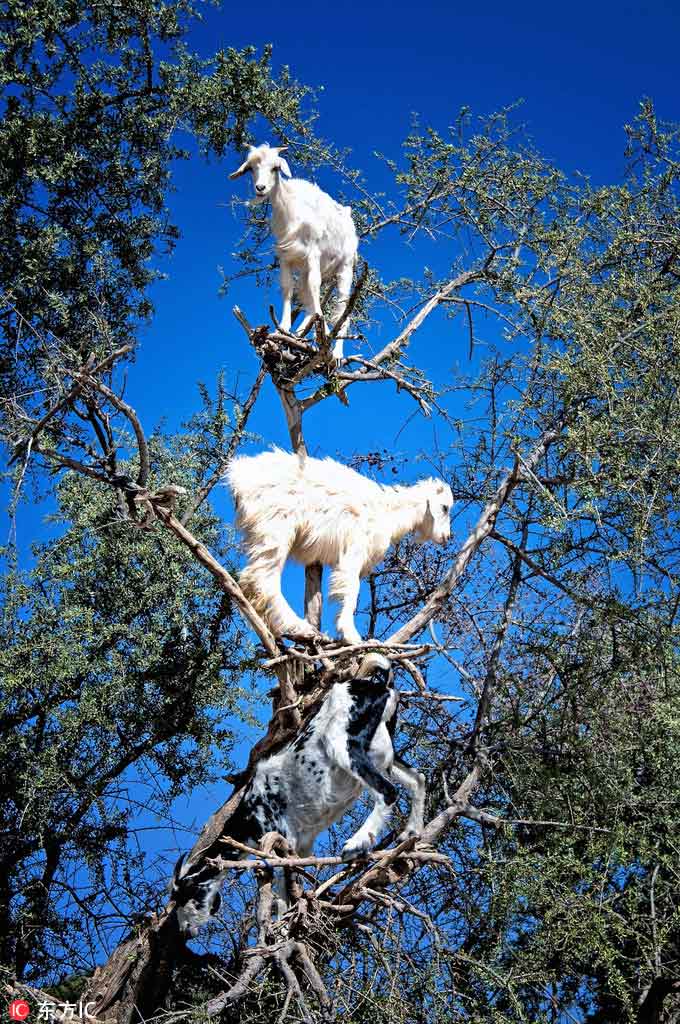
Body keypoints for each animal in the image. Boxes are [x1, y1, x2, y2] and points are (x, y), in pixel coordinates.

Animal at [171, 654, 426, 937]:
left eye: (185, 893)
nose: (184, 931)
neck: (250, 811)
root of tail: (381, 688)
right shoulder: (302, 846)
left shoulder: (282, 839)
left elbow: (283, 891)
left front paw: (282, 926)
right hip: (384, 754)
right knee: (418, 779)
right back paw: (412, 832)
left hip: (342, 743)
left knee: (388, 791)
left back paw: (357, 843)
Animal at [225, 449, 453, 644]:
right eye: (444, 507)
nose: (446, 536)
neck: (387, 511)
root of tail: (239, 476)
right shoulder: (354, 549)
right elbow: (351, 591)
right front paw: (351, 635)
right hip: (276, 526)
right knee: (262, 577)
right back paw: (300, 628)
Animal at [229, 143, 359, 363]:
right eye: (251, 169)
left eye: (275, 168)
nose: (260, 188)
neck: (292, 210)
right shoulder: (285, 256)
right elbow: (287, 287)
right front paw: (283, 328)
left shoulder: (313, 253)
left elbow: (315, 287)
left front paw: (323, 331)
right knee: (307, 297)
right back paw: (300, 335)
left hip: (345, 267)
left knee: (342, 306)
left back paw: (337, 353)